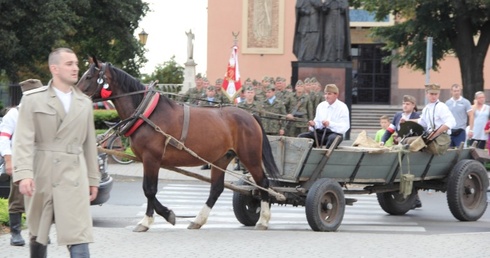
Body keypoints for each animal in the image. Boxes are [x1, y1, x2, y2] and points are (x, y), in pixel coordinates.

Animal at [76, 58, 280, 230]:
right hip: (221, 158)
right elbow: (149, 190)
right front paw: (158, 216)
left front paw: (155, 217)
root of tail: (250, 115)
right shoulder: (146, 160)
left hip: (249, 156)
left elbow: (149, 190)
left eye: (89, 76)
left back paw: (263, 219)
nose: (73, 91)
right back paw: (198, 219)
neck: (147, 113)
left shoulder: (152, 158)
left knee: (263, 183)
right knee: (216, 189)